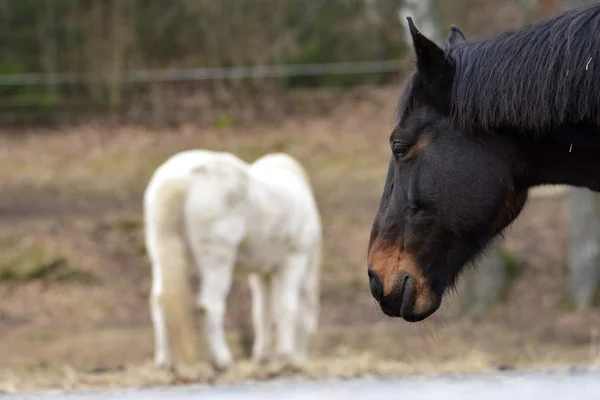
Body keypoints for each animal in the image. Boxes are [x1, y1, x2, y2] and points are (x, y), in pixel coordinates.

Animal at [145, 150, 322, 372]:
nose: (302, 358)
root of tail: (179, 178)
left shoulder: (262, 273)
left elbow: (262, 313)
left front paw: (263, 356)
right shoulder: (294, 258)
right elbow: (287, 307)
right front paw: (285, 356)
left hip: (161, 252)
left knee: (160, 301)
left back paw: (165, 361)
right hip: (218, 259)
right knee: (209, 305)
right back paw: (223, 359)